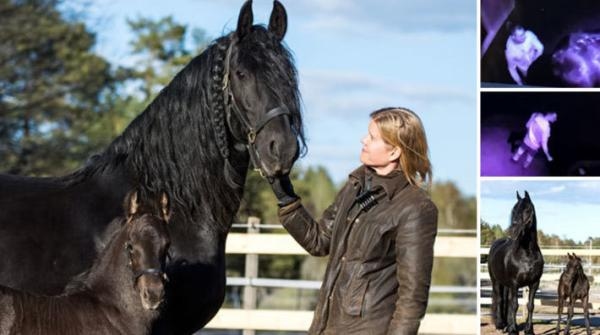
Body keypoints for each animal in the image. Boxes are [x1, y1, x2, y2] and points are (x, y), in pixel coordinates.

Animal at [490, 190, 548, 334]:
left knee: (506, 301)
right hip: (496, 281)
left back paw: (507, 325)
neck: (527, 255)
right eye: (514, 210)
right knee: (500, 300)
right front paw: (513, 330)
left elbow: (530, 305)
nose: (514, 230)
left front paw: (528, 330)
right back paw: (501, 325)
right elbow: (515, 305)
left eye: (527, 210)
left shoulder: (534, 283)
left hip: (506, 284)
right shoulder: (515, 284)